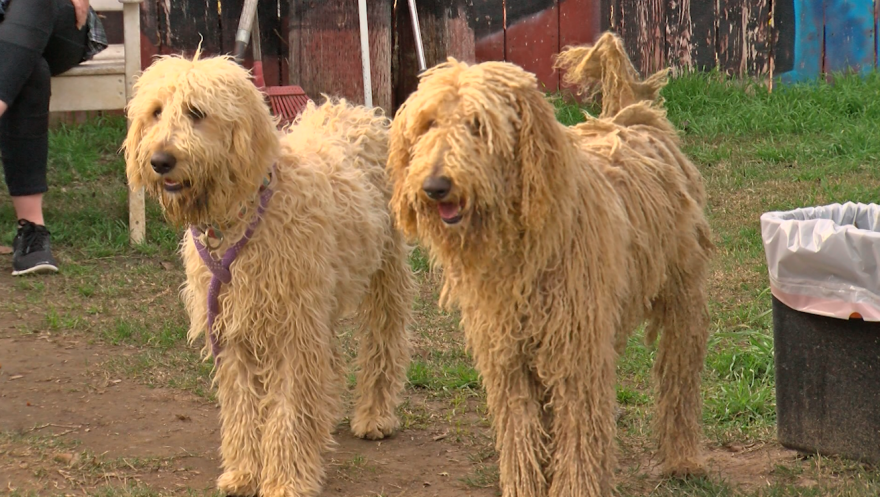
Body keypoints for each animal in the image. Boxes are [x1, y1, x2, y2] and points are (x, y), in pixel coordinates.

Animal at [386, 33, 716, 494]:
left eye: (478, 125)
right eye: (428, 124)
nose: (435, 186)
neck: (520, 244)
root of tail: (631, 121)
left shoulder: (575, 351)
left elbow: (578, 435)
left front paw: (576, 485)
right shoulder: (508, 355)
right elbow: (521, 432)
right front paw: (525, 485)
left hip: (682, 294)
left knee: (679, 377)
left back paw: (683, 458)